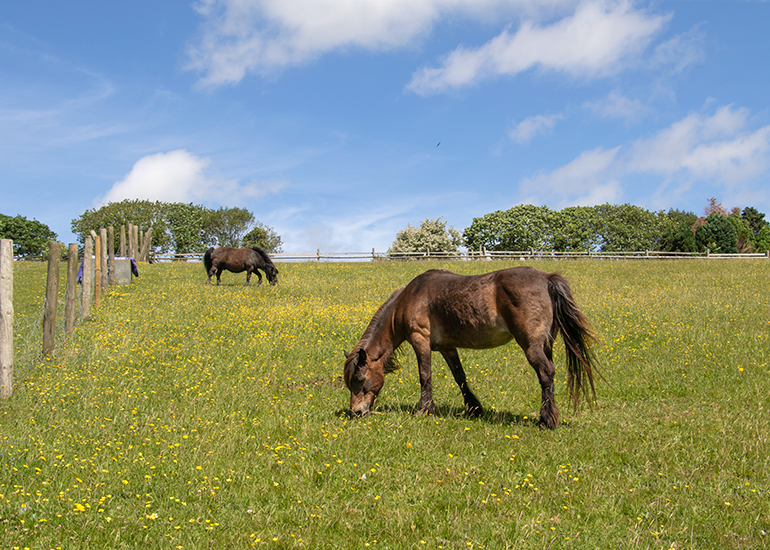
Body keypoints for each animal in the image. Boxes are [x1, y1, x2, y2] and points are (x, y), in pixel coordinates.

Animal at [343, 267, 599, 429]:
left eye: (360, 380)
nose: (356, 412)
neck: (408, 299)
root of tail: (546, 278)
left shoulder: (420, 339)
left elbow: (425, 375)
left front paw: (424, 410)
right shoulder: (447, 348)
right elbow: (460, 377)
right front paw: (474, 408)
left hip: (532, 345)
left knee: (546, 373)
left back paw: (546, 420)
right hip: (547, 344)